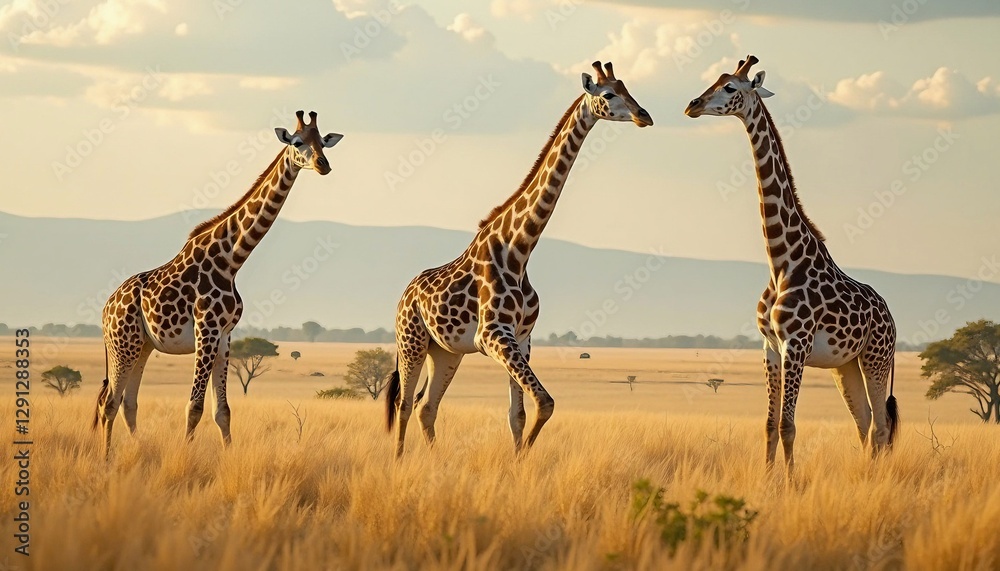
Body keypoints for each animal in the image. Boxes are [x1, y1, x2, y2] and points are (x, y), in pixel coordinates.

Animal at [93, 111, 343, 456]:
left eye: (322, 141)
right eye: (296, 141)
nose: (323, 164)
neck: (232, 261)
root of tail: (105, 308)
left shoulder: (224, 335)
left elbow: (222, 410)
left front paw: (227, 454)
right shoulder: (206, 330)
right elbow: (194, 406)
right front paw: (184, 457)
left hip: (142, 345)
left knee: (128, 402)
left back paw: (137, 449)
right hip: (123, 344)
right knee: (109, 403)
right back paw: (105, 458)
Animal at [385, 61, 653, 457]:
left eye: (629, 89)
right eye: (608, 94)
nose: (643, 115)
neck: (519, 249)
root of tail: (405, 293)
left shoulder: (522, 339)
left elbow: (520, 414)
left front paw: (519, 460)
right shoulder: (494, 335)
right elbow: (545, 402)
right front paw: (522, 457)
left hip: (446, 351)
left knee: (426, 406)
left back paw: (435, 461)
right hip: (411, 340)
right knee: (404, 404)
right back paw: (399, 461)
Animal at [685, 56, 899, 471]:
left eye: (730, 87)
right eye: (715, 79)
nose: (693, 105)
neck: (781, 260)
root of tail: (892, 317)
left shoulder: (795, 346)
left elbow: (788, 425)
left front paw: (790, 481)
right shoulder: (770, 347)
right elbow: (769, 424)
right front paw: (768, 480)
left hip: (876, 358)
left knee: (881, 426)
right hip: (845, 365)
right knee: (865, 423)